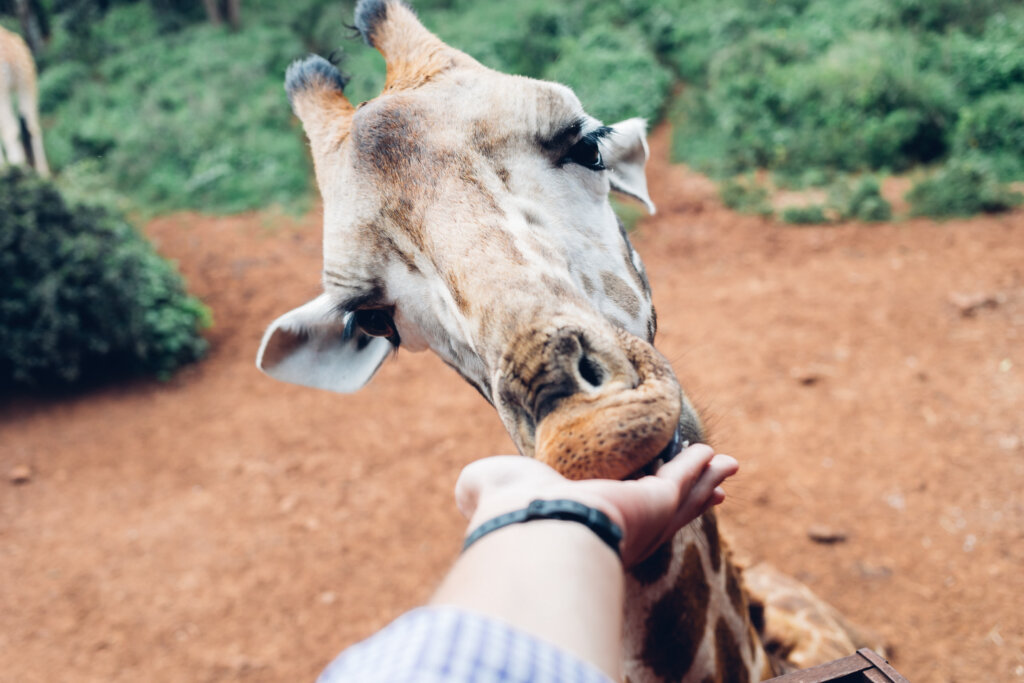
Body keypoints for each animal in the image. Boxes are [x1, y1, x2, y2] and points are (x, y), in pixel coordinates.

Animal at [0, 25, 49, 177]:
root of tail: (12, 58)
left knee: (11, 129)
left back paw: (13, 169)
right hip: (28, 80)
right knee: (33, 126)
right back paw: (42, 173)